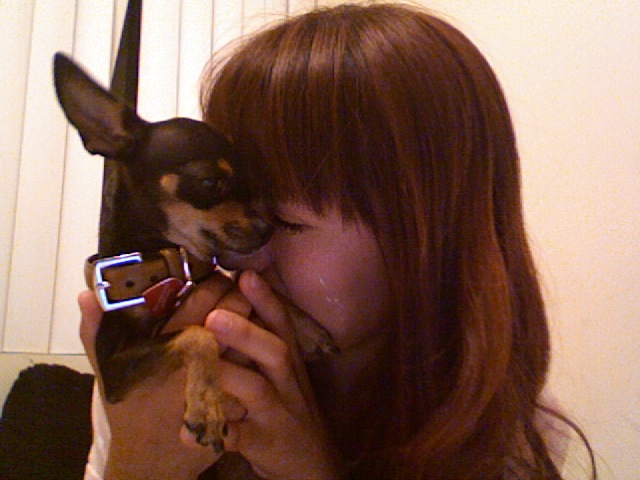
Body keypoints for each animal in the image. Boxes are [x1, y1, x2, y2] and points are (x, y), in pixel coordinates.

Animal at [53, 53, 338, 452]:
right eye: (208, 182)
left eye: (251, 184)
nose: (268, 229)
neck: (170, 263)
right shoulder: (112, 368)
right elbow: (198, 334)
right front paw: (207, 405)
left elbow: (246, 278)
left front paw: (306, 325)